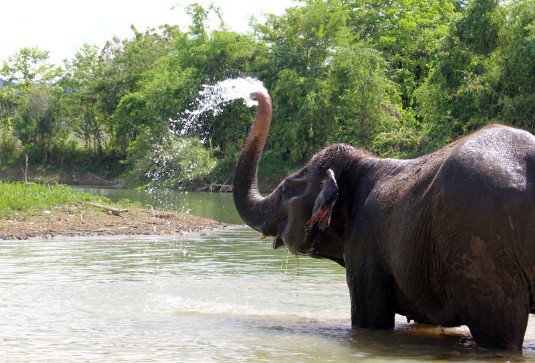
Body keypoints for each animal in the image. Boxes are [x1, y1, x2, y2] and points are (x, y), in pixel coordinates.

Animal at [233, 86, 535, 352]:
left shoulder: (365, 245)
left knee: (499, 331)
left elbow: (370, 320)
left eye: (285, 190)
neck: (362, 163)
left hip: (483, 254)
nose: (253, 94)